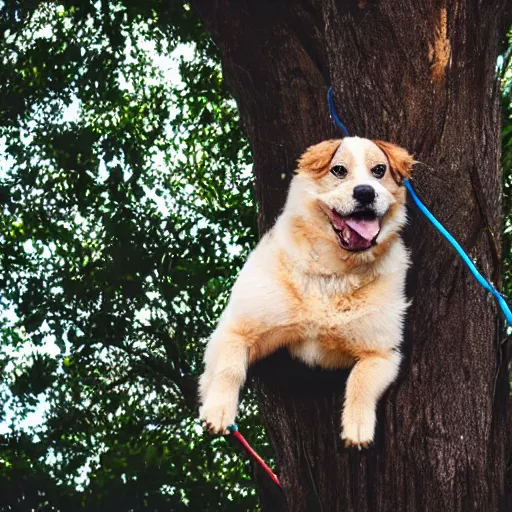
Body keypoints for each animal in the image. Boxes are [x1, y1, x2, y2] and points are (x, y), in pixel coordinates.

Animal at [198, 136, 414, 448]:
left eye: (379, 170)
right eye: (338, 170)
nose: (365, 192)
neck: (332, 273)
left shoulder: (382, 353)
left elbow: (360, 381)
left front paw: (357, 427)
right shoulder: (238, 328)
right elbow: (229, 368)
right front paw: (218, 409)